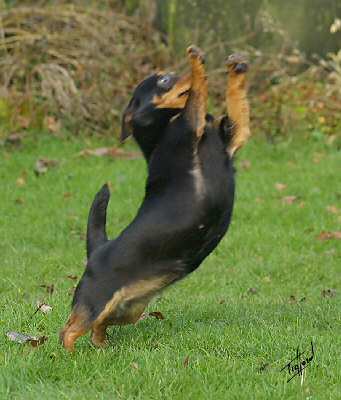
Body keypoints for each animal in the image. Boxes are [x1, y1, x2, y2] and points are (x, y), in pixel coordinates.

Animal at [59, 45, 248, 350]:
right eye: (164, 80)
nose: (178, 71)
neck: (164, 127)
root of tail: (97, 251)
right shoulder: (191, 123)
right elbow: (198, 93)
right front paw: (197, 62)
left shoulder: (235, 133)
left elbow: (236, 98)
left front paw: (236, 69)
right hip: (95, 301)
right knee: (68, 330)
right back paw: (70, 354)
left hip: (127, 310)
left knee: (97, 326)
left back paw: (102, 348)